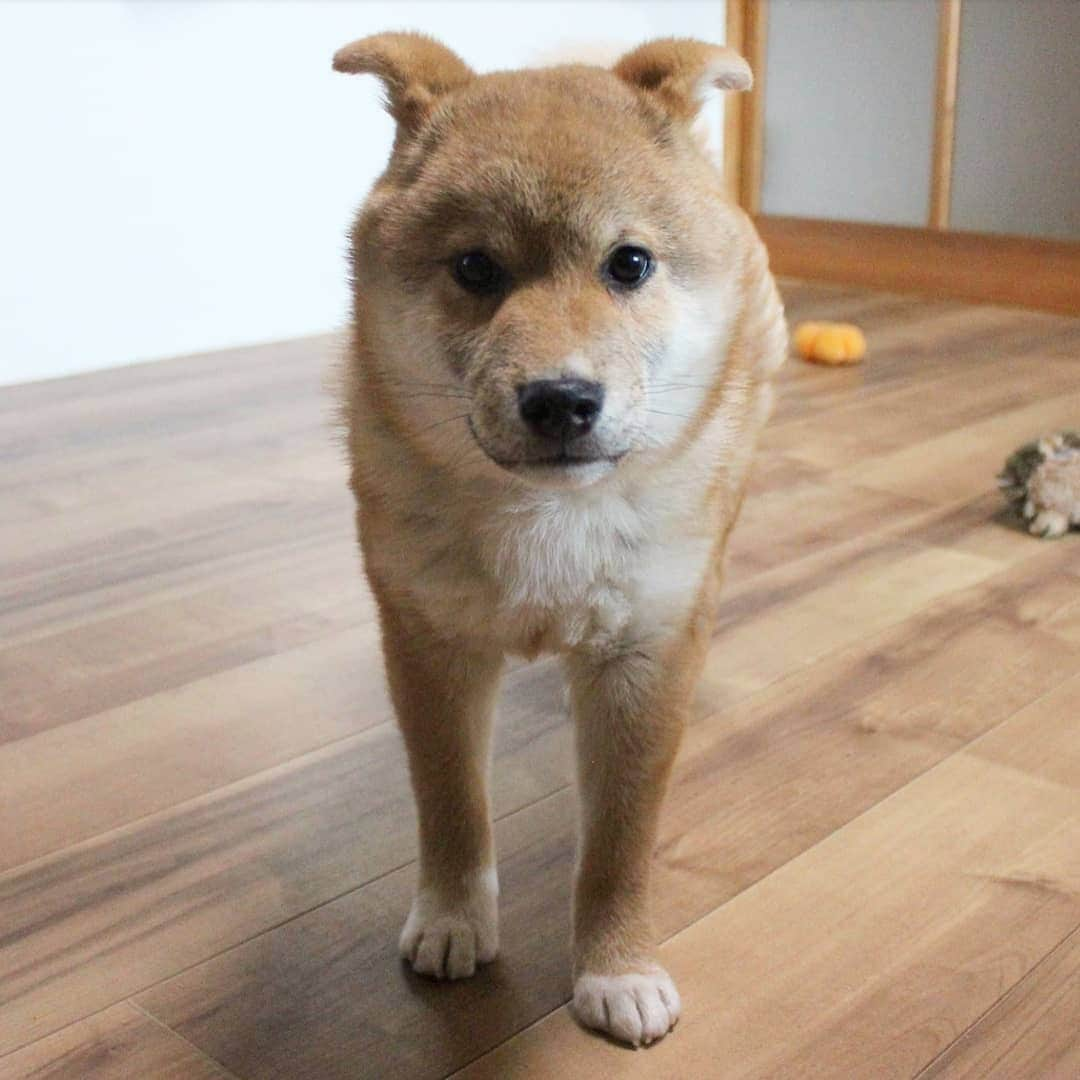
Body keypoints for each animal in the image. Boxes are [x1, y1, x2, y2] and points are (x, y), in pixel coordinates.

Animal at [332, 33, 781, 1045]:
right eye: (474, 268)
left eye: (630, 264)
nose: (562, 399)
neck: (552, 519)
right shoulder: (429, 641)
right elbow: (451, 803)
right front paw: (455, 917)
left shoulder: (647, 653)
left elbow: (620, 841)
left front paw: (617, 968)